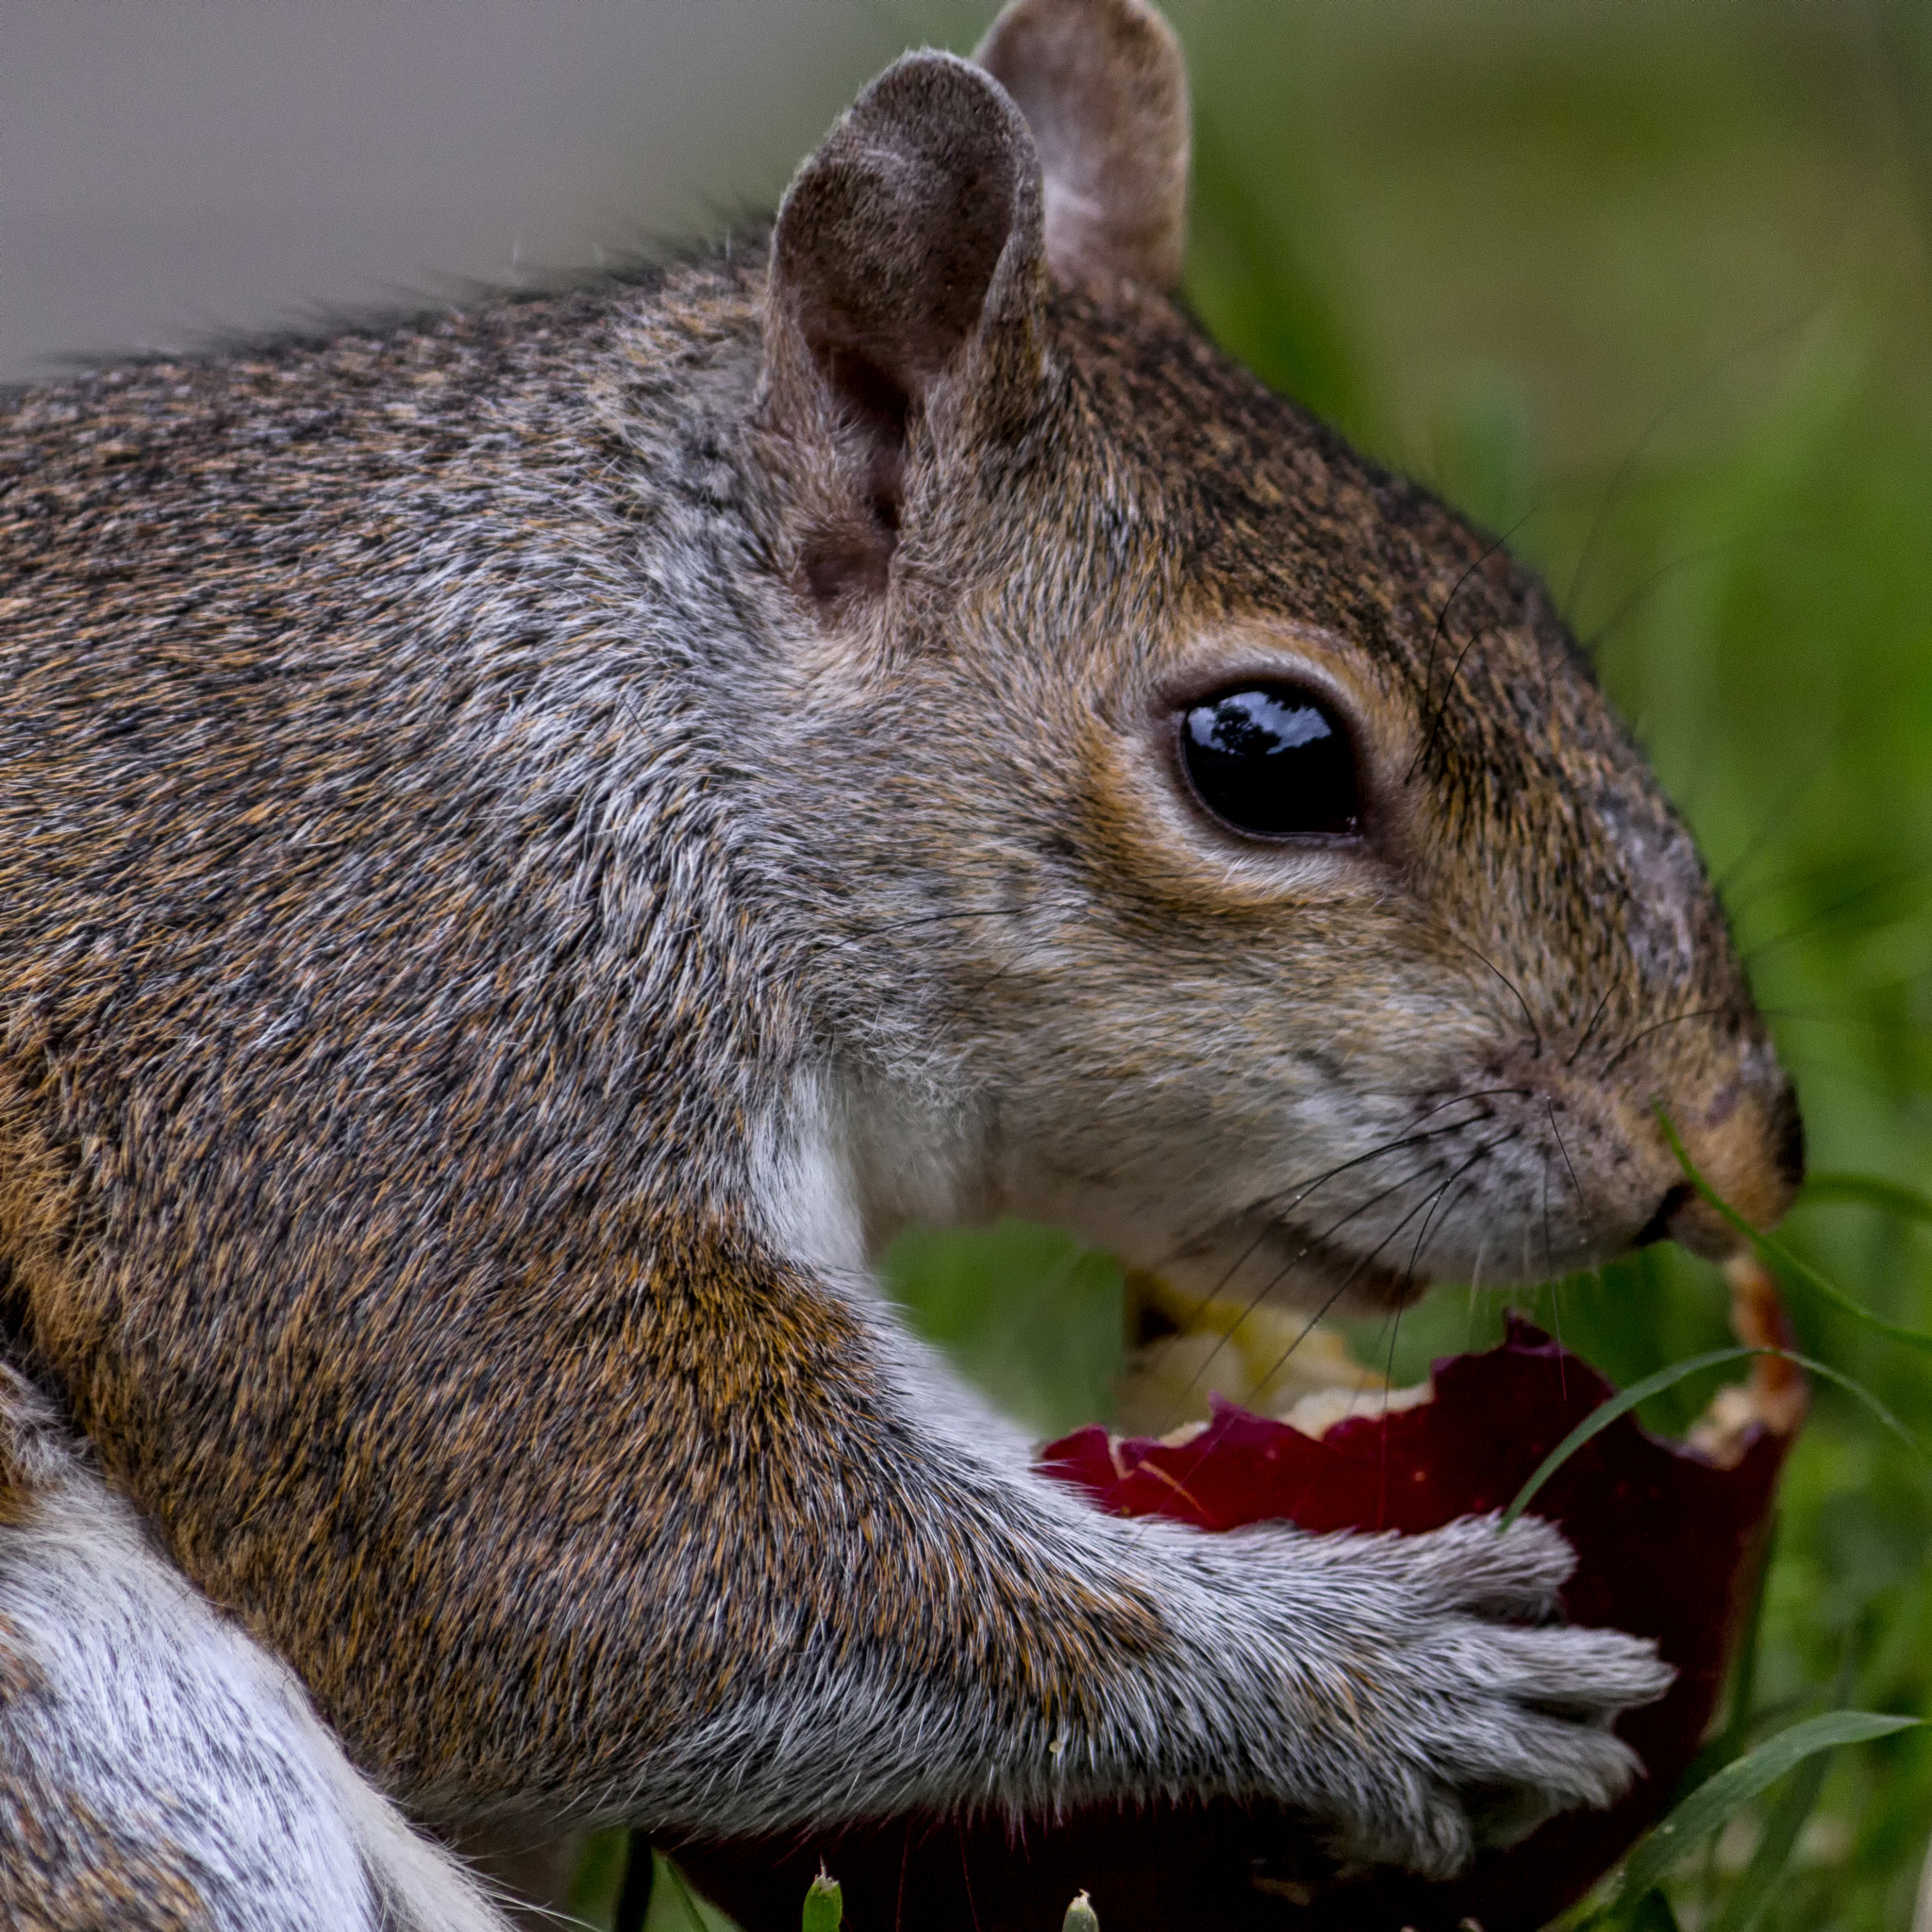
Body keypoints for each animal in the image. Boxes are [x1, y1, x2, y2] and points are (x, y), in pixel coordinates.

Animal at [0, 0, 1803, 1926]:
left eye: (1519, 593)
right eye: (1263, 753)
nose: (1739, 1152)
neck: (623, 705)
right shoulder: (367, 1041)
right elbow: (575, 1547)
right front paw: (1382, 1665)